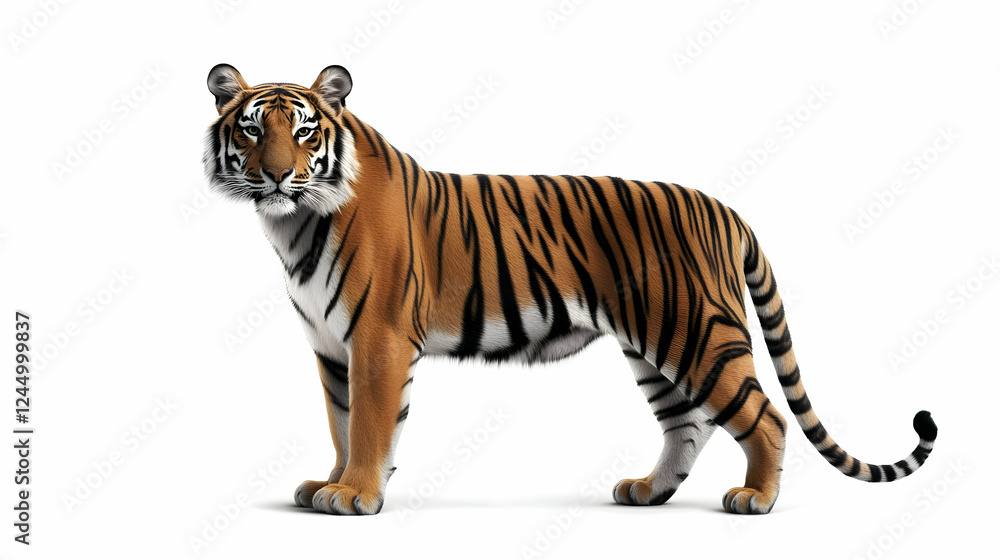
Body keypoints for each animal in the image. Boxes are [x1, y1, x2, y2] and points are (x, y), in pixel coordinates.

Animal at [203, 64, 937, 516]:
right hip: (654, 345)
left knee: (765, 416)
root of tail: (725, 210)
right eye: (252, 128)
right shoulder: (332, 346)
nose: (276, 175)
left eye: (305, 132)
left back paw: (754, 499)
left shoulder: (376, 339)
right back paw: (648, 491)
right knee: (688, 423)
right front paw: (331, 483)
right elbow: (342, 421)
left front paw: (355, 495)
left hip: (699, 334)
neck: (295, 223)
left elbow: (372, 422)